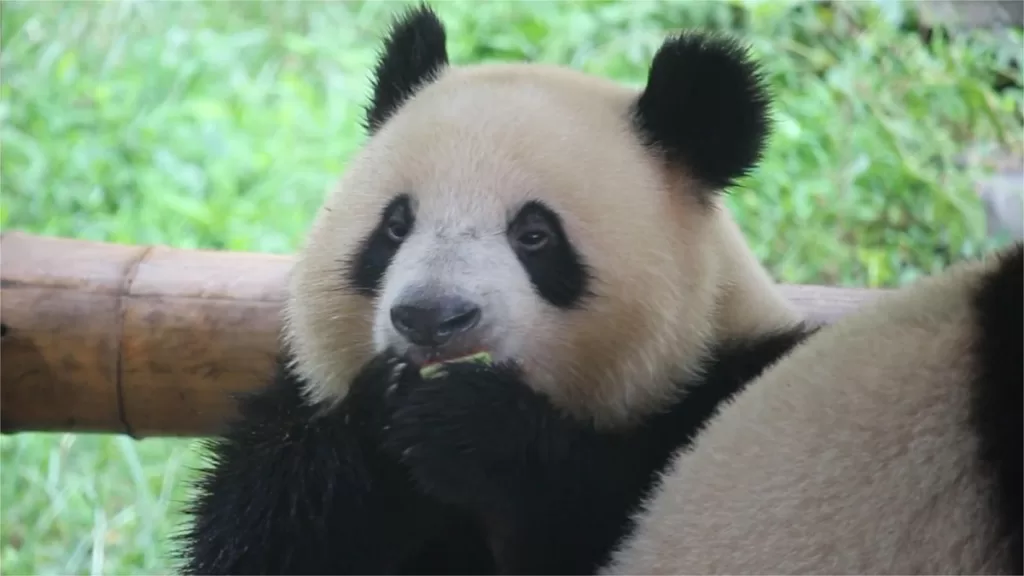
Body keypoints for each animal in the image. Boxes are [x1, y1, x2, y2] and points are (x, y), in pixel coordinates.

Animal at [176, 4, 817, 575]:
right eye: (395, 225)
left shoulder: (726, 394)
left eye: (534, 235)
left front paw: (477, 425)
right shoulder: (294, 406)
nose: (430, 317)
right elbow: (260, 529)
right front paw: (380, 419)